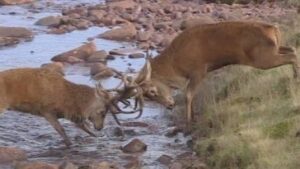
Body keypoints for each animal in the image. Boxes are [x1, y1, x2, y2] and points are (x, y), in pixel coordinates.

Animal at [0, 66, 142, 146]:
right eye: (102, 112)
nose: (100, 127)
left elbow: (84, 128)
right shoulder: (46, 110)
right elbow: (62, 131)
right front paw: (70, 144)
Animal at [135, 21, 298, 129]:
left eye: (152, 91)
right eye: (147, 96)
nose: (169, 105)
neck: (176, 64)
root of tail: (274, 29)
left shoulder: (199, 69)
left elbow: (188, 94)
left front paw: (188, 121)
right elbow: (192, 94)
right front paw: (193, 116)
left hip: (262, 57)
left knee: (292, 55)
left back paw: (296, 78)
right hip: (274, 49)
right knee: (293, 48)